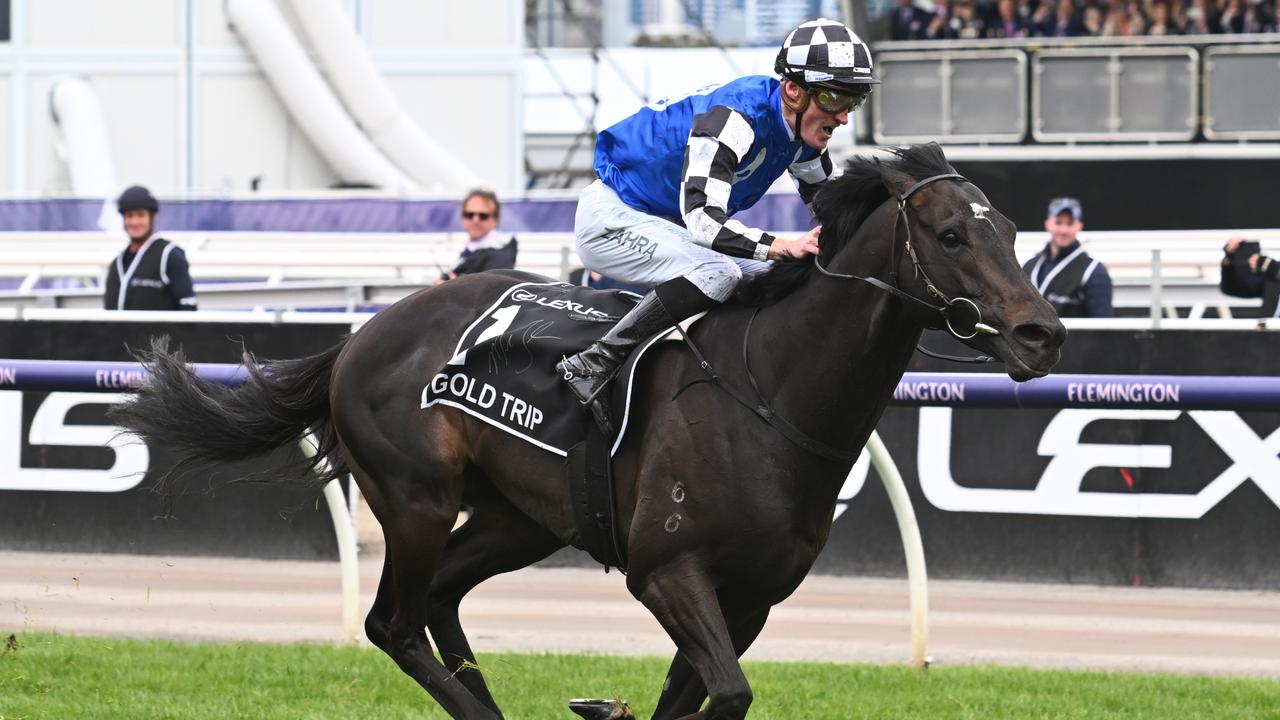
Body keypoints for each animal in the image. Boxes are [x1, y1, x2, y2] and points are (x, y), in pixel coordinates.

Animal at [115, 144, 1064, 717]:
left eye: (1014, 231)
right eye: (951, 234)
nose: (1041, 333)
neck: (773, 392)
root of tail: (363, 334)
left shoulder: (751, 595)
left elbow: (699, 693)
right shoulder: (667, 570)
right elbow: (727, 693)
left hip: (520, 518)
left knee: (440, 597)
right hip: (417, 498)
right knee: (393, 622)